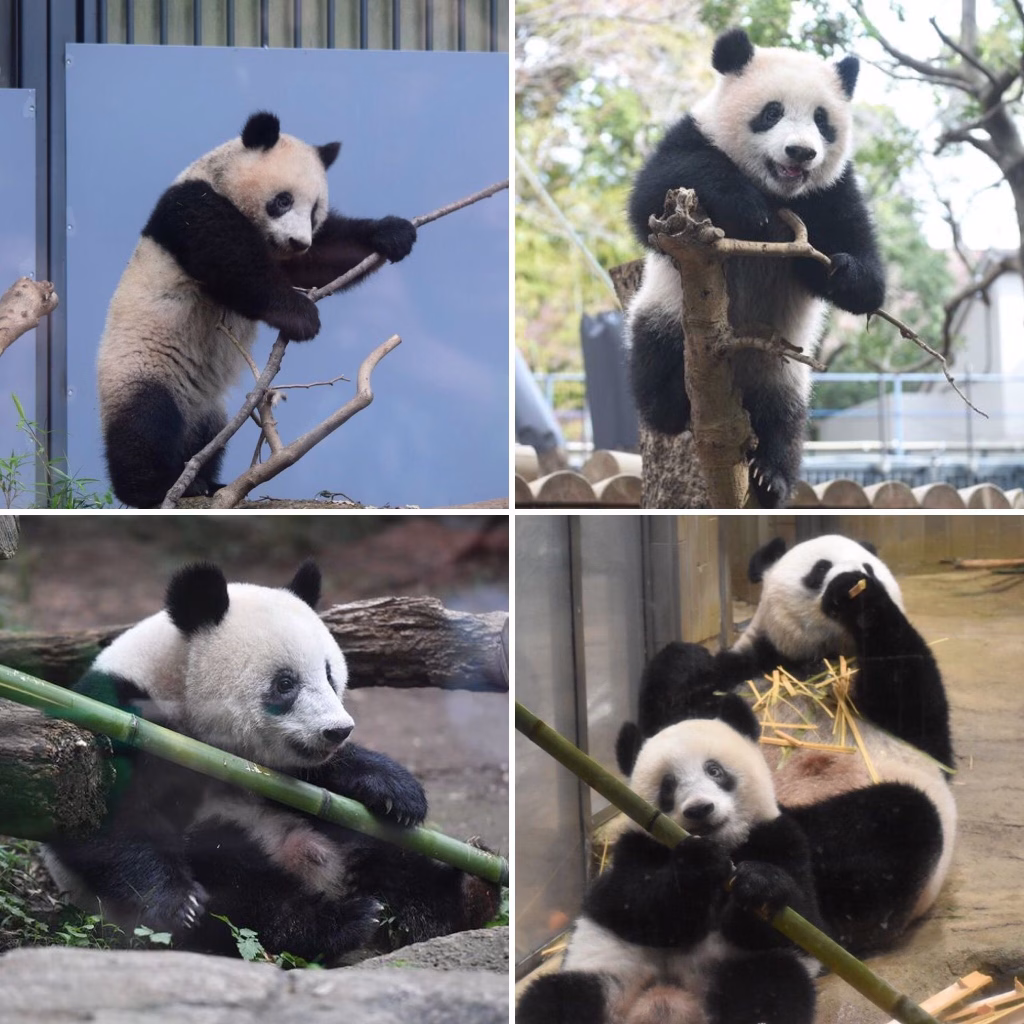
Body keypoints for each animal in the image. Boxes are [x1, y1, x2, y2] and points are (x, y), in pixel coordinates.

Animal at [44, 560, 498, 961]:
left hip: (353, 839)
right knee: (247, 904)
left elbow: (325, 774)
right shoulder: (118, 713)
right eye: (285, 683)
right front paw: (176, 902)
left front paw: (395, 791)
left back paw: (467, 894)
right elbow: (104, 822)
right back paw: (343, 921)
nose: (338, 730)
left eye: (330, 675)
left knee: (393, 860)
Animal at [98, 111, 417, 508]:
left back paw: (205, 480)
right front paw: (302, 316)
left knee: (209, 433)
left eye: (314, 211)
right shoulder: (192, 207)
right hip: (142, 366)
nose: (297, 241)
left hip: (207, 405)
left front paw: (391, 233)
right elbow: (231, 260)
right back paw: (155, 487)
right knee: (144, 423)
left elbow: (323, 255)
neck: (221, 177)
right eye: (283, 200)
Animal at [517, 695, 822, 1024]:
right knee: (554, 997)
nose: (700, 809)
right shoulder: (636, 849)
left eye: (714, 770)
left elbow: (800, 922)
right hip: (604, 976)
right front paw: (698, 866)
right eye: (668, 785)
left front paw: (759, 885)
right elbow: (637, 906)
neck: (724, 845)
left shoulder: (780, 837)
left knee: (771, 983)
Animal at [616, 534, 956, 955]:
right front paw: (686, 662)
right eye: (820, 568)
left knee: (897, 822)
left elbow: (916, 702)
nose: (849, 577)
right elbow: (673, 695)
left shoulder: (903, 714)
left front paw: (862, 596)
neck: (816, 658)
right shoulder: (749, 665)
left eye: (869, 567)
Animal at [626, 29, 885, 507]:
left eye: (822, 120)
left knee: (784, 418)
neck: (777, 189)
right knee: (654, 360)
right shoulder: (692, 139)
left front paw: (846, 273)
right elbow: (652, 196)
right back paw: (673, 403)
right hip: (665, 317)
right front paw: (750, 211)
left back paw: (771, 476)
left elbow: (864, 268)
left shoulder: (833, 191)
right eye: (772, 112)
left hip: (784, 366)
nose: (800, 152)